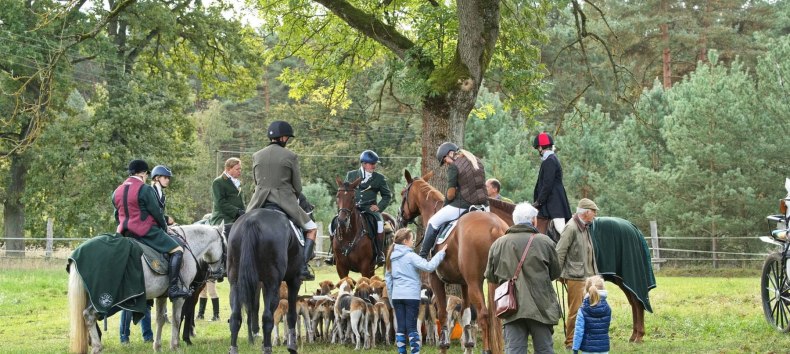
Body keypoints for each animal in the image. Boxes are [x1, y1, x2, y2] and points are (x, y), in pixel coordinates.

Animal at [68, 224, 226, 354]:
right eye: (225, 244)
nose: (219, 274)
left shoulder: (162, 296)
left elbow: (160, 319)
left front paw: (157, 346)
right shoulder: (181, 296)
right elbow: (177, 318)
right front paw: (175, 345)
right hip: (104, 299)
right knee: (89, 315)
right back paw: (97, 347)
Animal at [227, 207, 304, 354]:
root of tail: (252, 220)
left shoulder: (260, 285)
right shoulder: (294, 280)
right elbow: (291, 315)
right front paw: (291, 345)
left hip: (235, 283)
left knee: (235, 317)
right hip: (272, 284)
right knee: (267, 318)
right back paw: (268, 348)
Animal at [396, 170, 508, 352]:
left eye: (402, 193)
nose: (400, 218)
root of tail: (495, 226)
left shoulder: (436, 279)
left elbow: (442, 315)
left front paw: (443, 345)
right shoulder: (464, 284)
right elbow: (466, 316)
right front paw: (468, 345)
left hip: (475, 282)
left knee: (484, 314)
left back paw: (486, 349)